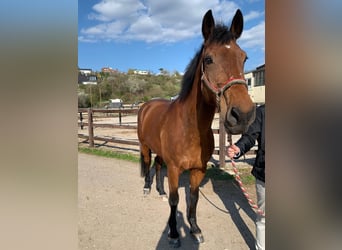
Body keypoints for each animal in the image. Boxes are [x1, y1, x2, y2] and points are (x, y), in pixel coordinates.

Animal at [138, 8, 255, 247]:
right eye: (208, 59)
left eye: (244, 57)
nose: (243, 115)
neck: (190, 129)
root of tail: (146, 105)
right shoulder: (175, 169)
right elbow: (175, 200)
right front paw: (174, 234)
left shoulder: (198, 170)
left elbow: (193, 198)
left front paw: (194, 229)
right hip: (145, 146)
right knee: (147, 163)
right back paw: (146, 188)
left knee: (157, 165)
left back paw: (160, 191)